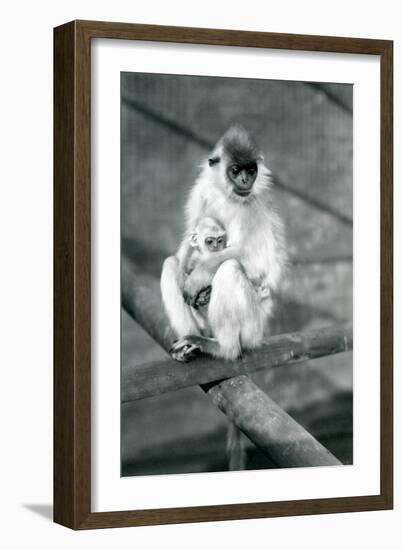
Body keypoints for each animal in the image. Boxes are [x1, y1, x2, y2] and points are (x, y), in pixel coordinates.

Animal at [161, 127, 288, 364]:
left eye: (251, 170)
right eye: (236, 170)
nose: (246, 179)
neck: (229, 197)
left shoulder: (251, 207)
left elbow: (250, 258)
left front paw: (198, 278)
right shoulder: (202, 191)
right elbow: (188, 239)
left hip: (252, 329)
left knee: (230, 267)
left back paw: (224, 348)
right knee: (171, 263)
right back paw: (191, 343)